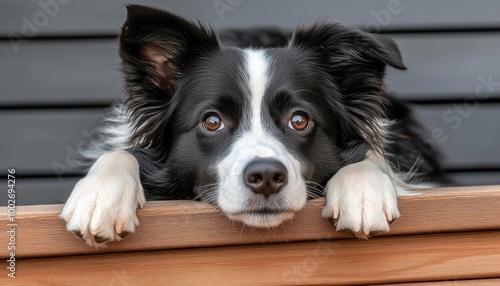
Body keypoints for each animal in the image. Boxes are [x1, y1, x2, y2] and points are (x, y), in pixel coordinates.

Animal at [60, 5, 444, 248]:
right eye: (212, 121)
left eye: (299, 120)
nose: (266, 176)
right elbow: (121, 153)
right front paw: (99, 197)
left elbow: (371, 155)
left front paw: (364, 189)